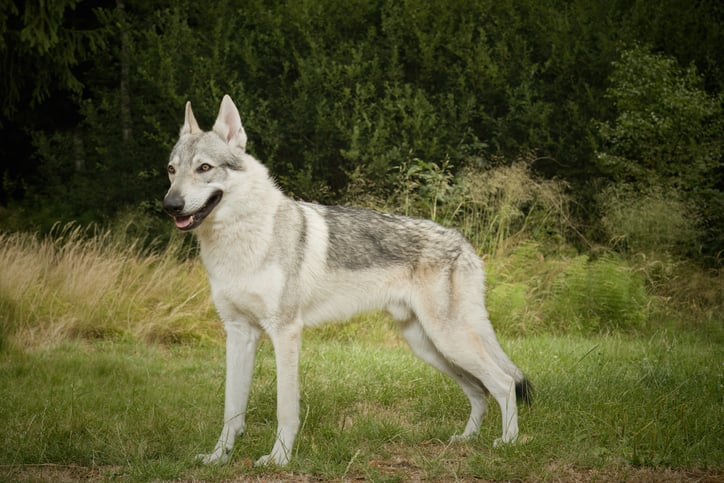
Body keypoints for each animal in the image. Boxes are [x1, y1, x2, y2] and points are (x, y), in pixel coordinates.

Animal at [161, 95, 528, 468]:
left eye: (204, 168)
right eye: (172, 170)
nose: (170, 205)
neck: (240, 240)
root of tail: (463, 241)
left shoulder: (285, 332)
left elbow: (285, 409)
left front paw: (279, 458)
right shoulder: (238, 333)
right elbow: (232, 410)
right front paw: (218, 457)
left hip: (449, 341)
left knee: (503, 383)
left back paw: (508, 443)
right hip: (430, 347)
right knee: (478, 390)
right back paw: (466, 439)